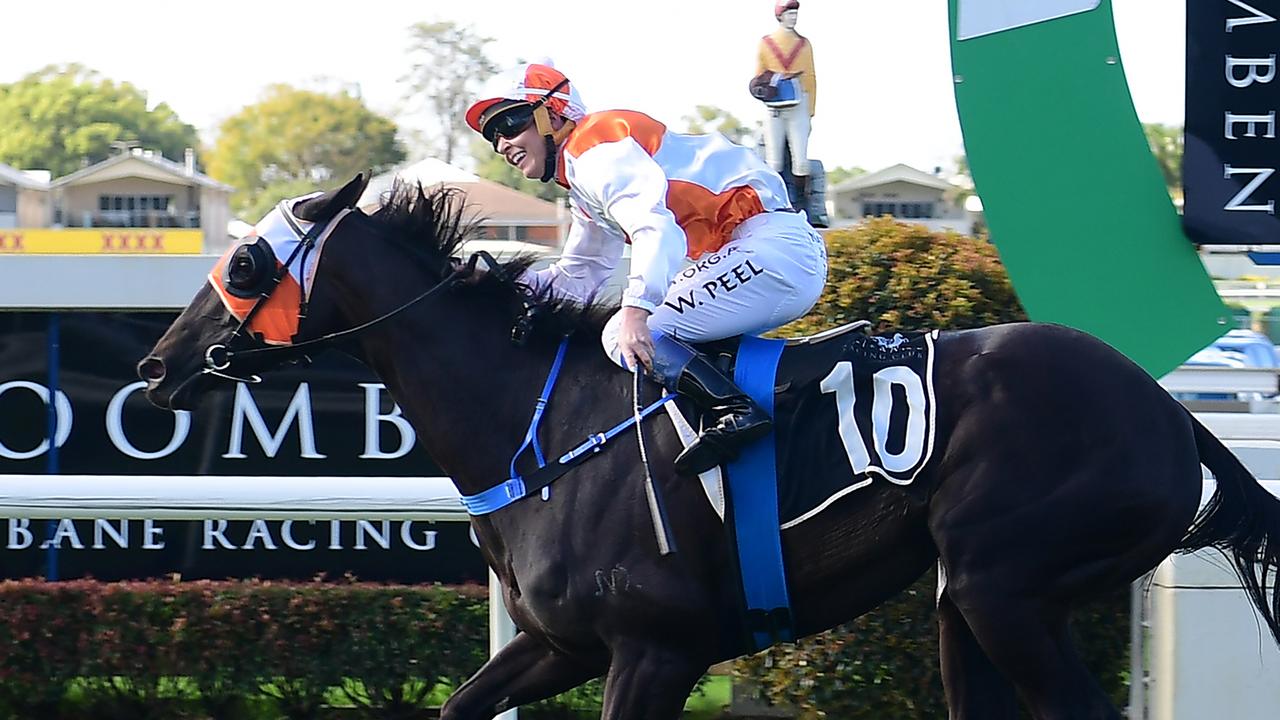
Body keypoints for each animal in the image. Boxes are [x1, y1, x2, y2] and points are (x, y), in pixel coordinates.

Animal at [137, 175, 1280, 717]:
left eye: (244, 263)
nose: (156, 366)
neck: (538, 431)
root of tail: (1170, 413)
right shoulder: (558, 644)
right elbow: (462, 704)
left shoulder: (655, 649)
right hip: (972, 598)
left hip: (1007, 585)